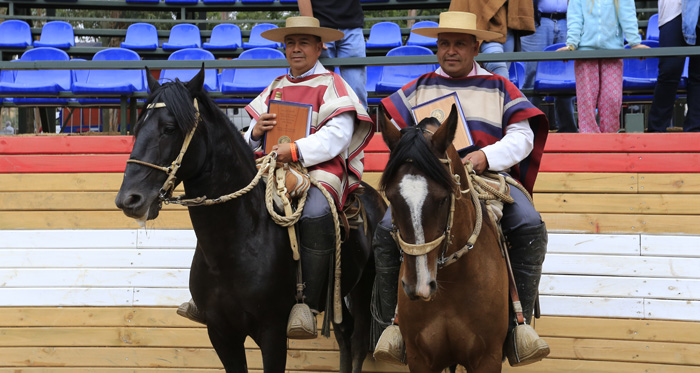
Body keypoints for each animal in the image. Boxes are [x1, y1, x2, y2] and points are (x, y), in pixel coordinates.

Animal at [116, 68, 388, 370]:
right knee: (344, 334)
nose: (130, 199)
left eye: (169, 128)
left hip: (364, 287)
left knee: (357, 340)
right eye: (137, 130)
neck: (237, 243)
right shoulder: (221, 333)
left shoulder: (272, 332)